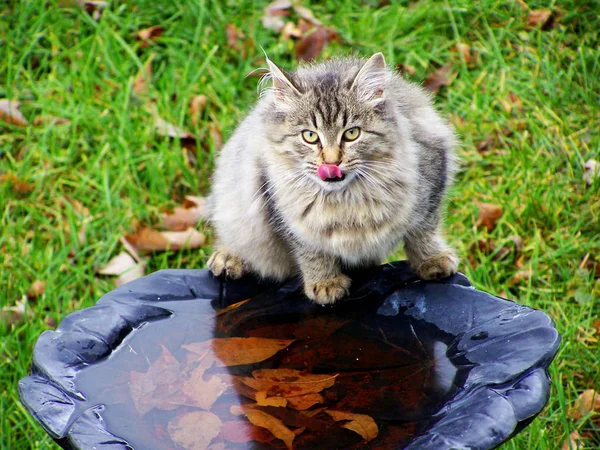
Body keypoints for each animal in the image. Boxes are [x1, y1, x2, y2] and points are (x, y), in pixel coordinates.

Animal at [204, 53, 458, 306]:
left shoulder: (432, 179)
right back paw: (228, 258)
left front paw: (432, 261)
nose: (331, 163)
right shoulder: (289, 219)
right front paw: (325, 283)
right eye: (309, 136)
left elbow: (423, 233)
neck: (344, 200)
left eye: (352, 133)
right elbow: (313, 253)